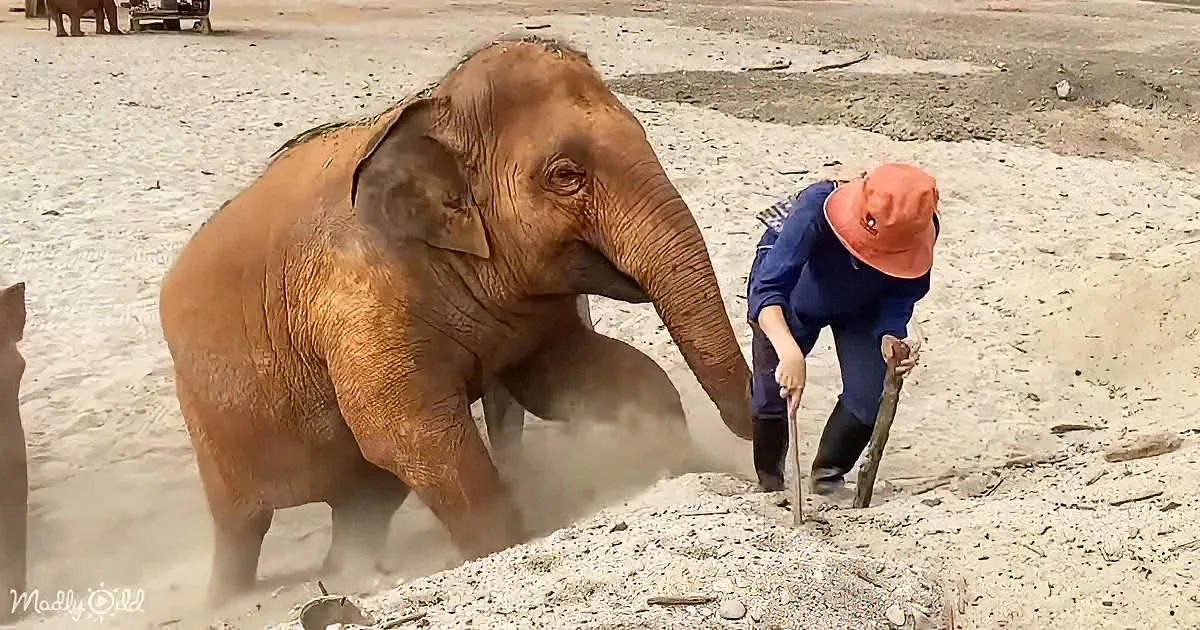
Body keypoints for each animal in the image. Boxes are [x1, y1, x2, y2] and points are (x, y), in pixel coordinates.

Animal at [158, 34, 752, 605]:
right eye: (566, 175)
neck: (430, 107)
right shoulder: (356, 294)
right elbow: (408, 432)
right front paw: (504, 542)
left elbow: (573, 376)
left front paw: (672, 460)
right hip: (208, 422)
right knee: (243, 526)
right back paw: (224, 600)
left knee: (365, 501)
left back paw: (345, 573)